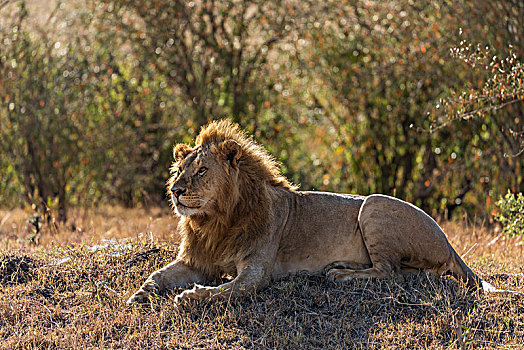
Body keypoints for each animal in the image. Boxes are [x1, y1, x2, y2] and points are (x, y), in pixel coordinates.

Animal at [127, 119, 500, 304]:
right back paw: (340, 266)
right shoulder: (196, 260)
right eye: (179, 171)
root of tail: (448, 240)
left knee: (390, 271)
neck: (215, 221)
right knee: (407, 272)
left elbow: (230, 290)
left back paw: (341, 276)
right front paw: (141, 294)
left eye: (202, 171)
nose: (175, 191)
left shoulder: (257, 271)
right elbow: (159, 274)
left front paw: (191, 297)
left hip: (374, 205)